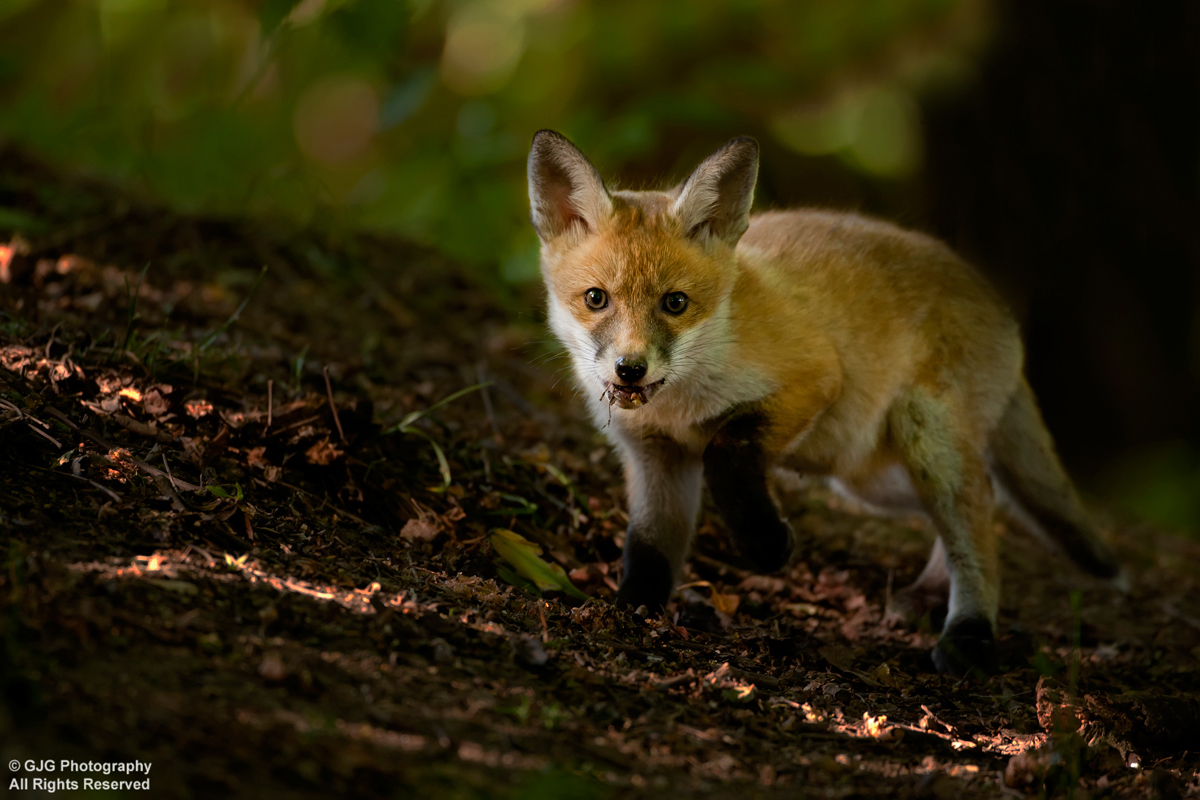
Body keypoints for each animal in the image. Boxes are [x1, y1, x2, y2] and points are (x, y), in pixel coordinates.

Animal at [526, 130, 1120, 676]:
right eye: (596, 299)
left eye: (675, 304)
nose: (630, 368)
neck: (678, 407)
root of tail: (1000, 308)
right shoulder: (653, 454)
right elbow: (649, 545)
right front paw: (634, 611)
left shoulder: (813, 378)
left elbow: (726, 450)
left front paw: (766, 543)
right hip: (868, 477)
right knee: (986, 497)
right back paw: (929, 595)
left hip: (920, 439)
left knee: (974, 516)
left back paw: (970, 634)